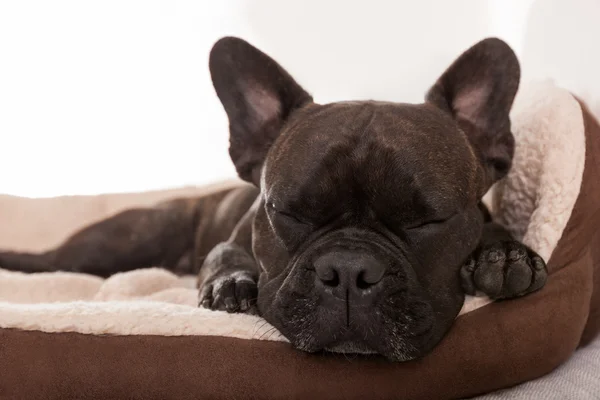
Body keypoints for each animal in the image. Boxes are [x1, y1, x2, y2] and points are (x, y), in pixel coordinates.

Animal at [0, 38, 548, 362]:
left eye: (426, 222)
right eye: (288, 212)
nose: (348, 271)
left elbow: (493, 228)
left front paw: (504, 254)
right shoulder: (232, 236)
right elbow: (223, 255)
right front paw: (231, 284)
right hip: (119, 243)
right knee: (51, 260)